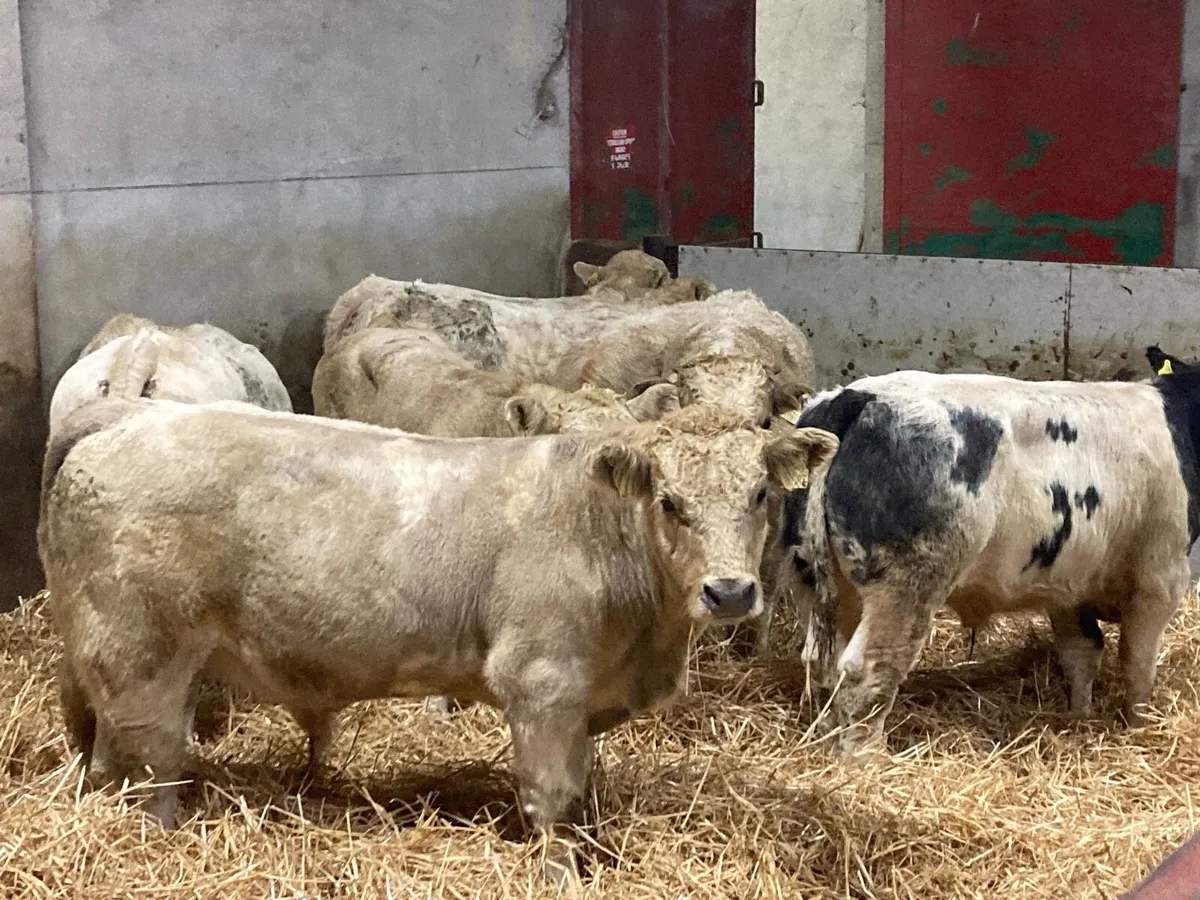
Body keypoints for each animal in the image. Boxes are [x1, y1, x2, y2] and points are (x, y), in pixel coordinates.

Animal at [39, 399, 839, 880]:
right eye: (670, 503)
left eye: (760, 494)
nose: (730, 592)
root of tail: (123, 419)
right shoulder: (542, 681)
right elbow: (550, 794)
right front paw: (558, 873)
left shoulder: (579, 698)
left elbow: (578, 789)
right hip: (140, 656)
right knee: (148, 766)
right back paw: (154, 842)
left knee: (111, 759)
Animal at [783, 364, 1197, 759]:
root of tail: (856, 396)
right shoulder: (1161, 577)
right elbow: (1137, 663)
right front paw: (1138, 727)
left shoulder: (1067, 586)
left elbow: (1081, 653)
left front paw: (1079, 718)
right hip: (905, 586)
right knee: (867, 668)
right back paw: (867, 761)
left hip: (815, 580)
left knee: (821, 659)